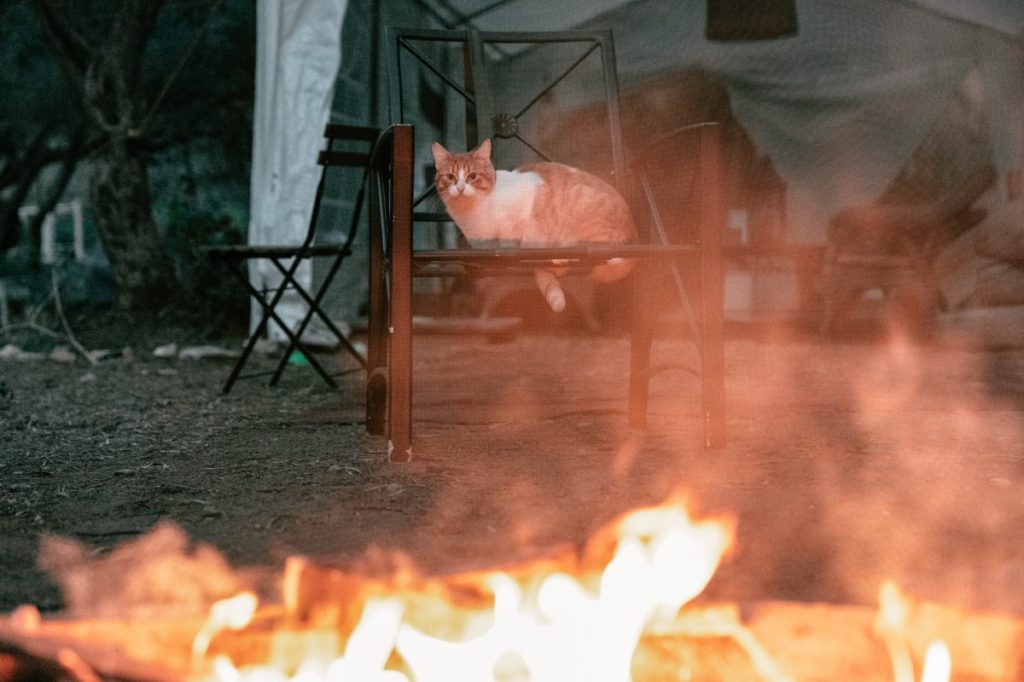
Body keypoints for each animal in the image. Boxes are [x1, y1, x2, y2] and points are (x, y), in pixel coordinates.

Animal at [428, 139, 634, 313]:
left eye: (472, 176)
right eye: (451, 177)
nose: (460, 188)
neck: (472, 212)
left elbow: (511, 240)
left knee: (602, 255)